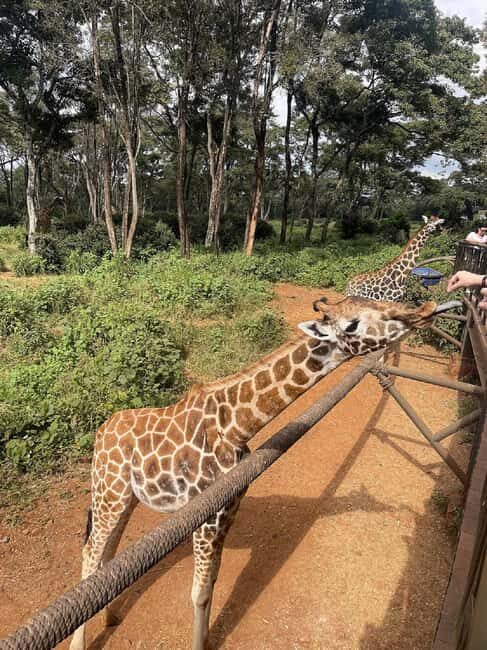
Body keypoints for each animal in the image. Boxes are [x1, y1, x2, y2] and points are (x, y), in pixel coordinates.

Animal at [69, 296, 441, 650]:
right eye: (353, 324)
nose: (426, 308)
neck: (236, 427)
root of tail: (101, 431)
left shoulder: (230, 510)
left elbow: (213, 582)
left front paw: (207, 639)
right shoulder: (206, 517)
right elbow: (199, 593)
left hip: (125, 497)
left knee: (107, 553)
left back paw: (112, 617)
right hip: (109, 492)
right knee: (90, 552)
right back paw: (79, 643)